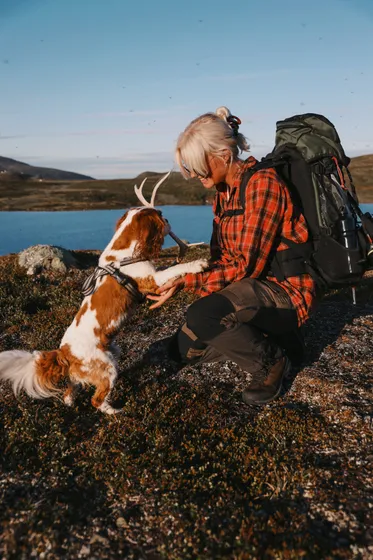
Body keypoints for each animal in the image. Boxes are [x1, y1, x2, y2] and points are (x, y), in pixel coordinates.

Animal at [0, 173, 208, 414]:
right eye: (162, 215)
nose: (169, 222)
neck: (124, 253)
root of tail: (65, 354)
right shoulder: (152, 281)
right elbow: (175, 269)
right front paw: (198, 264)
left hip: (111, 353)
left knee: (72, 387)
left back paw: (71, 401)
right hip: (107, 366)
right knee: (96, 400)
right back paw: (116, 412)